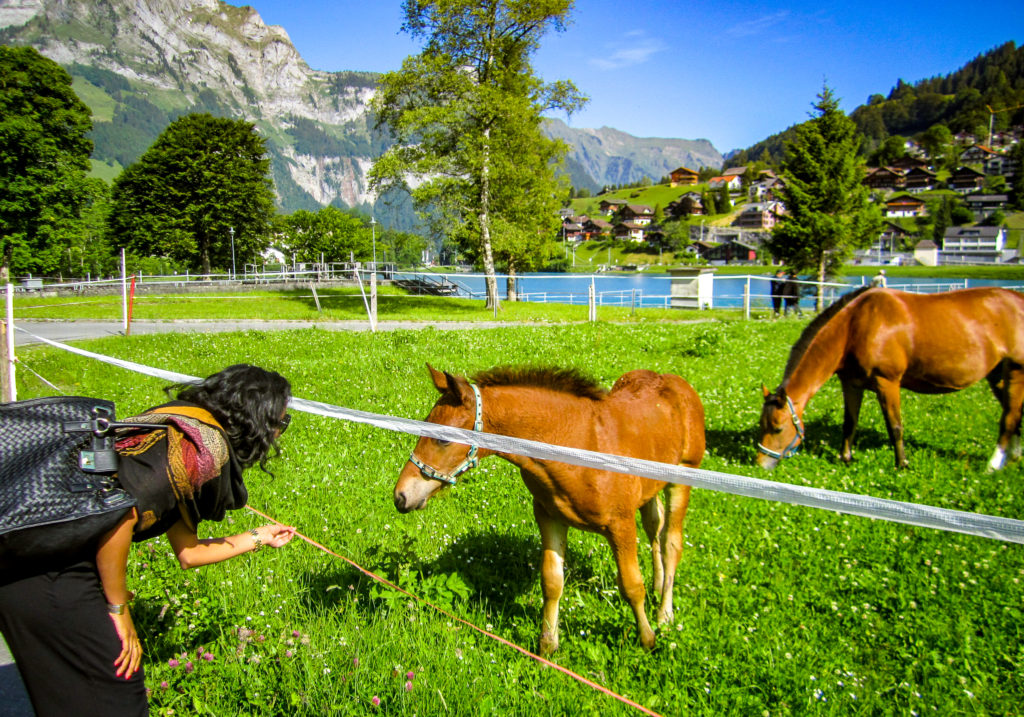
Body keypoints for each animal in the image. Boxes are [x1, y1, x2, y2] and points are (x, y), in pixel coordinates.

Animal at [391, 364, 704, 655]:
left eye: (443, 439)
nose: (401, 496)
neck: (578, 446)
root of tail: (675, 381)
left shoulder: (620, 524)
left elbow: (631, 585)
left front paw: (648, 640)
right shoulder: (549, 516)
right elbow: (552, 582)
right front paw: (547, 646)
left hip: (683, 479)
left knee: (671, 542)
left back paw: (664, 615)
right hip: (651, 487)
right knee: (655, 524)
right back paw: (658, 586)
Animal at [757, 284, 1024, 471]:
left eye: (778, 428)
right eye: (762, 424)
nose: (761, 463)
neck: (856, 325)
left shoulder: (887, 383)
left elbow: (894, 426)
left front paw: (902, 464)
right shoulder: (851, 383)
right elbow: (849, 422)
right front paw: (846, 458)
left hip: (1016, 371)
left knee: (1009, 417)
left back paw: (993, 465)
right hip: (997, 375)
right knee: (1014, 412)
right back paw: (1013, 457)